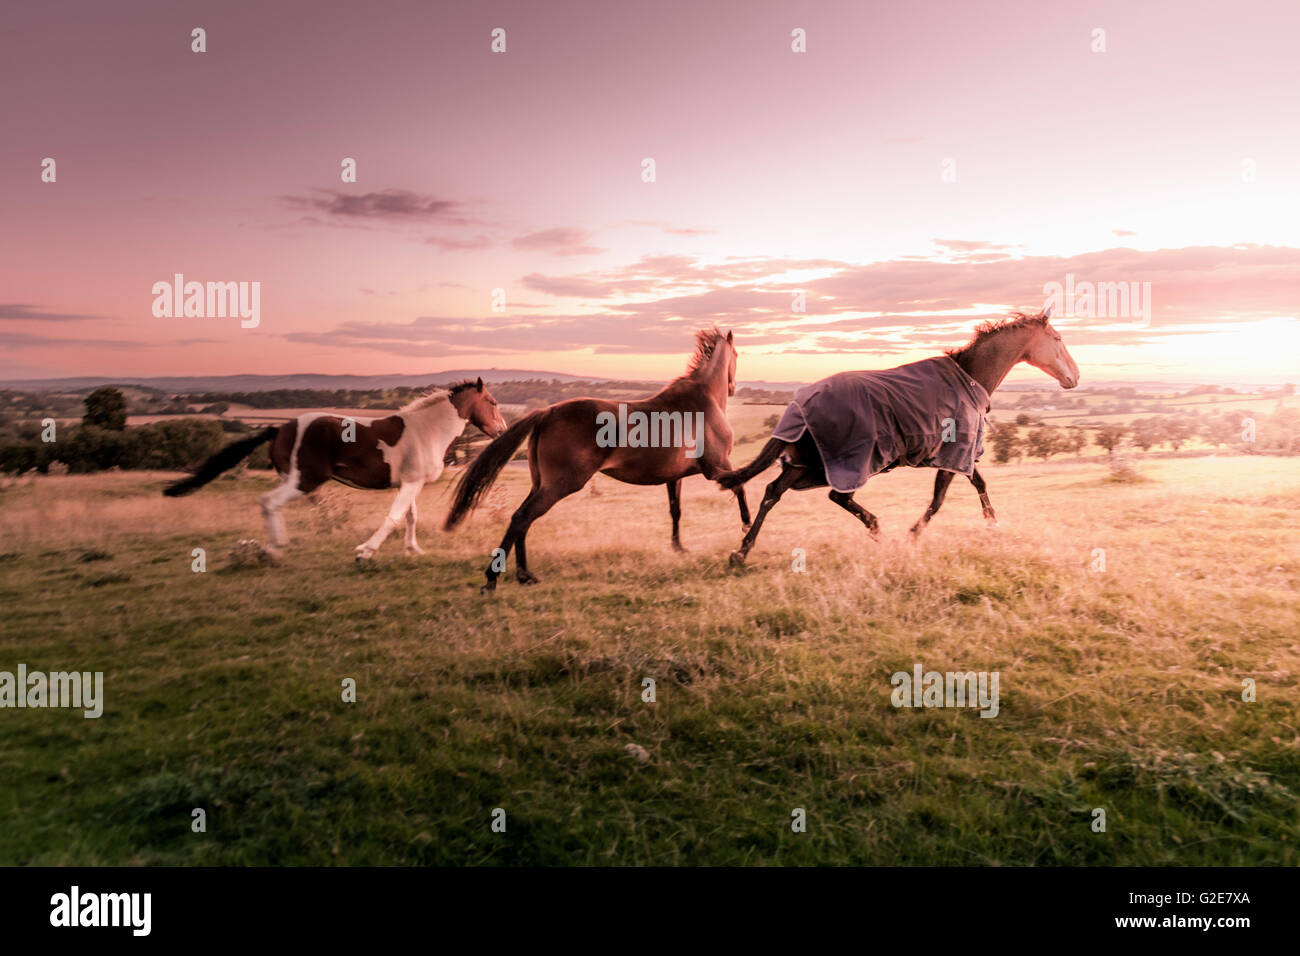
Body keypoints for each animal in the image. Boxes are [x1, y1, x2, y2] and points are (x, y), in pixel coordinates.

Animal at [163, 379, 507, 561]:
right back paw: (275, 549)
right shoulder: (411, 484)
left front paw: (414, 549)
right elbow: (394, 517)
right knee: (268, 502)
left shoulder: (409, 484)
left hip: (295, 480)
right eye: (492, 402)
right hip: (305, 480)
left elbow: (410, 516)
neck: (427, 430)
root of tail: (279, 428)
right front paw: (366, 551)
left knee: (270, 505)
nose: (502, 431)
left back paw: (277, 546)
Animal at [444, 328, 751, 591]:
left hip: (540, 483)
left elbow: (675, 510)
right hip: (561, 484)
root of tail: (547, 412)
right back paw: (494, 579)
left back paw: (525, 575)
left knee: (523, 519)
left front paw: (679, 548)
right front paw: (746, 528)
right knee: (522, 517)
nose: (733, 387)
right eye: (737, 355)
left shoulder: (675, 477)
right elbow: (740, 487)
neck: (703, 401)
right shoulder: (716, 467)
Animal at [716, 306, 1079, 565]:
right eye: (1058, 340)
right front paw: (913, 535)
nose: (1074, 377)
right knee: (835, 496)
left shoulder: (960, 456)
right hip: (846, 463)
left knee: (772, 492)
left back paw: (741, 552)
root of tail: (800, 402)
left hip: (805, 462)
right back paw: (878, 531)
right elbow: (940, 499)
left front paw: (992, 524)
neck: (969, 376)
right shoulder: (954, 454)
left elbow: (979, 484)